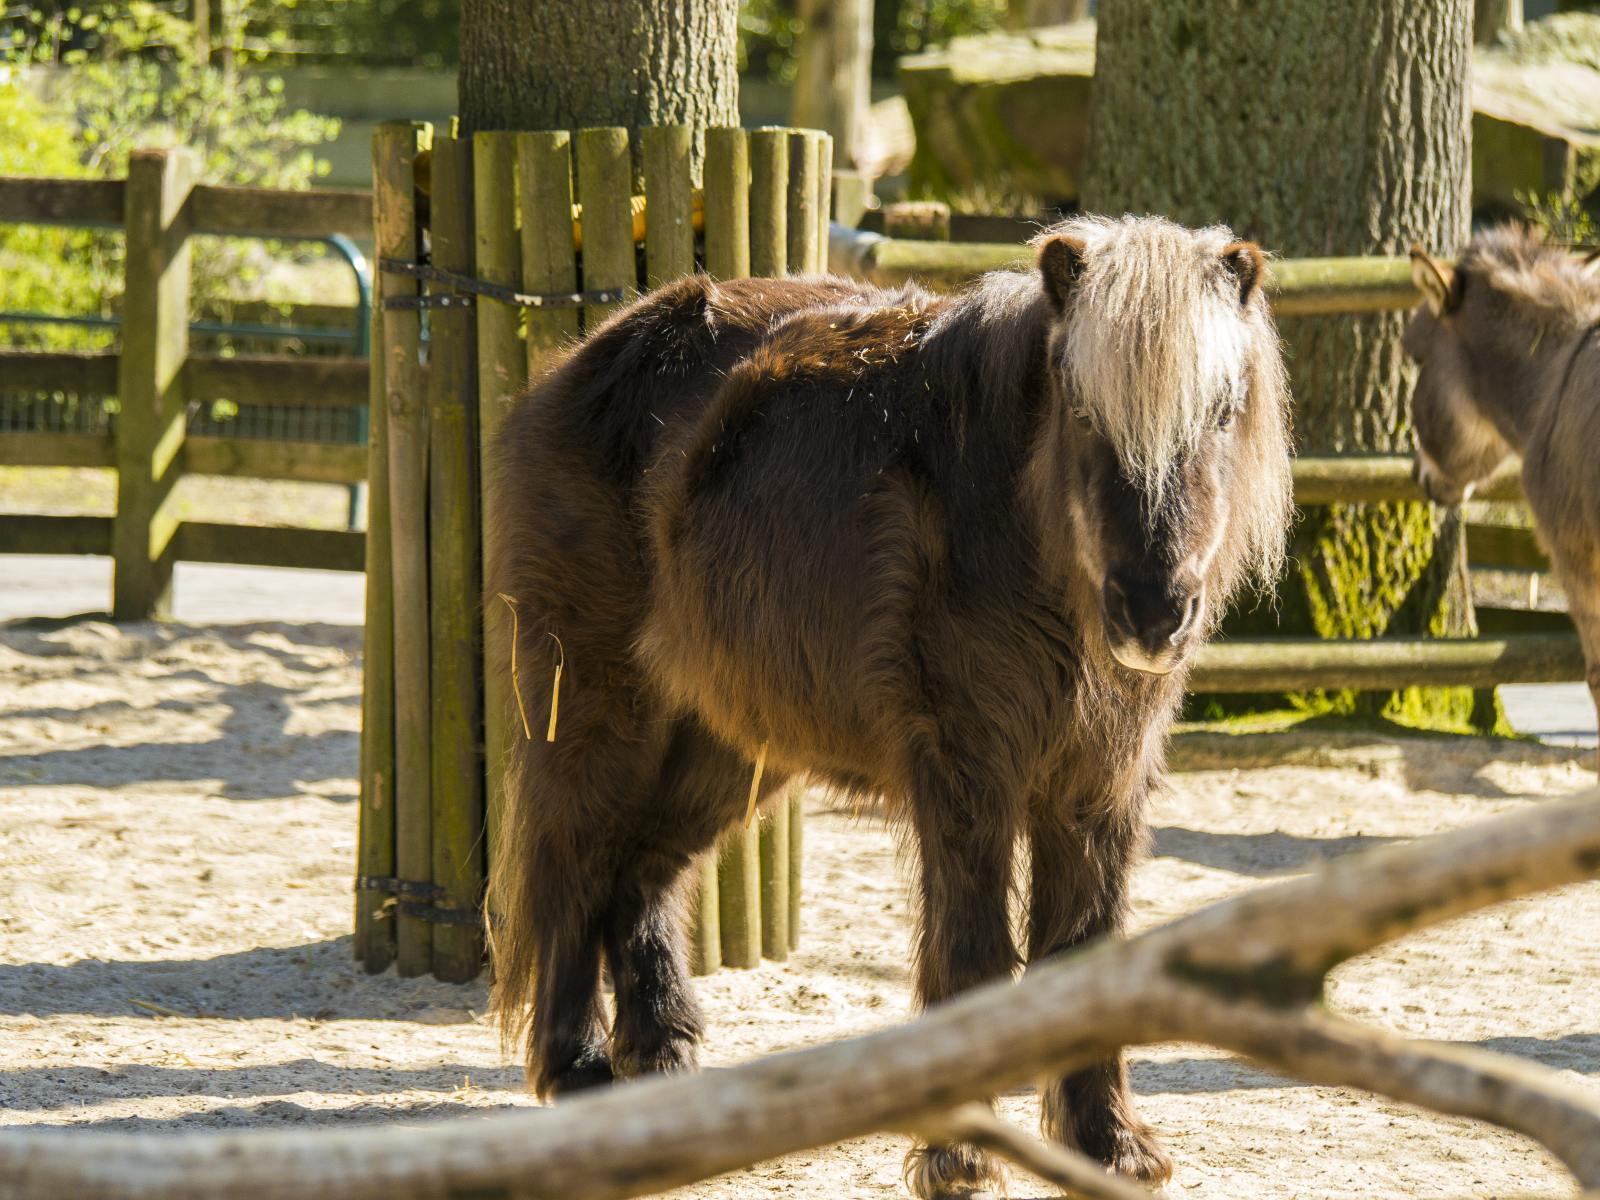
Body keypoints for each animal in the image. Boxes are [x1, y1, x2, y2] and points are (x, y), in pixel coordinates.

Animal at [486, 214, 1294, 1195]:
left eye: (1221, 411)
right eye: (1084, 414)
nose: (1151, 610)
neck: (1010, 521)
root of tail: (586, 357)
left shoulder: (1098, 782)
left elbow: (1088, 951)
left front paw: (1107, 1144)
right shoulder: (967, 773)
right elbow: (973, 956)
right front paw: (958, 1156)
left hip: (726, 739)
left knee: (643, 869)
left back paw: (665, 1059)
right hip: (598, 706)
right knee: (572, 857)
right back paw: (575, 1070)